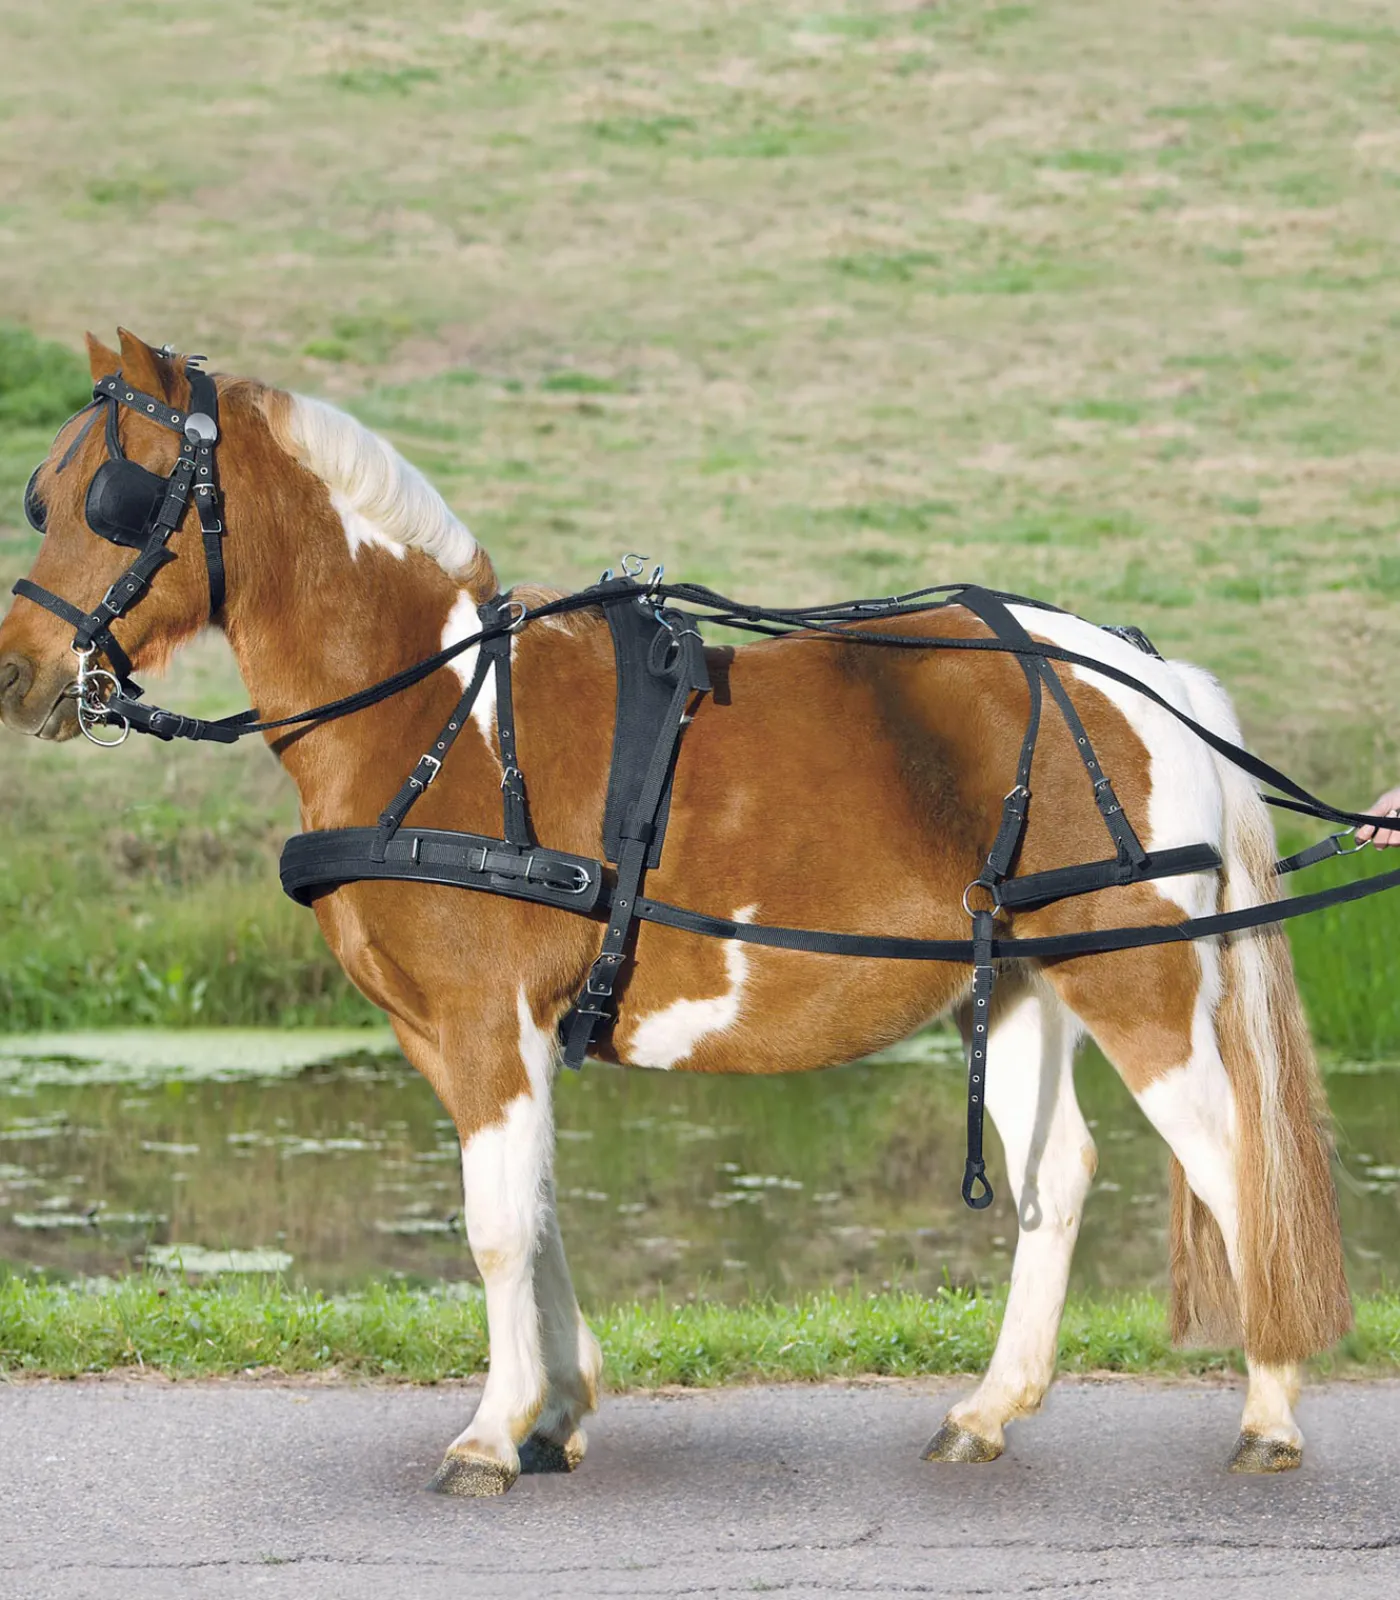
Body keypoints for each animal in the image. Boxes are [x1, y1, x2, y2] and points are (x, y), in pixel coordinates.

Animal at [0, 330, 1351, 1494]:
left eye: (115, 497)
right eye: (40, 495)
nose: (17, 672)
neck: (435, 708)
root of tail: (1149, 675)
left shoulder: (484, 1022)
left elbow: (495, 1225)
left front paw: (490, 1432)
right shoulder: (471, 1036)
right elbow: (535, 1207)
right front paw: (553, 1409)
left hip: (1136, 982)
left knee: (1232, 1160)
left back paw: (1269, 1409)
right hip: (1023, 974)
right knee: (1055, 1174)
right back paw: (985, 1411)